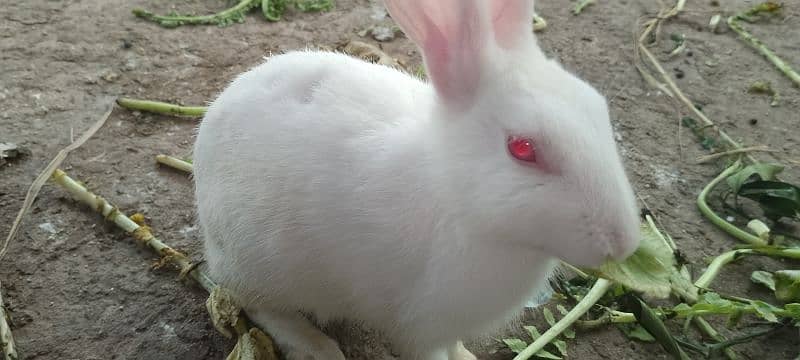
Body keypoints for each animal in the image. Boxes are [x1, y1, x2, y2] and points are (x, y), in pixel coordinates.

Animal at [191, 0, 640, 358]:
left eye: (598, 107)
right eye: (523, 148)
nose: (624, 243)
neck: (456, 198)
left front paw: (467, 357)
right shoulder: (420, 329)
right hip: (262, 265)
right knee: (259, 305)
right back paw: (318, 348)